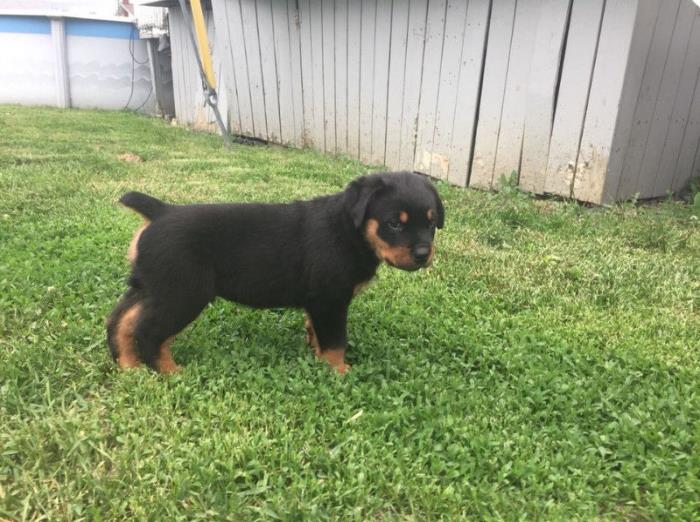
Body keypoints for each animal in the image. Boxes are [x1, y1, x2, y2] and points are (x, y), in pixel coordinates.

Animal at [105, 173, 442, 372]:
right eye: (394, 223)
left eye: (431, 222)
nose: (423, 254)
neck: (350, 230)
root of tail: (161, 211)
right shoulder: (331, 301)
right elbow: (336, 341)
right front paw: (339, 373)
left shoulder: (319, 303)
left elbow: (317, 332)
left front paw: (317, 357)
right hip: (183, 294)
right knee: (148, 331)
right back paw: (171, 373)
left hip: (152, 286)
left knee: (121, 321)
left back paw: (129, 366)